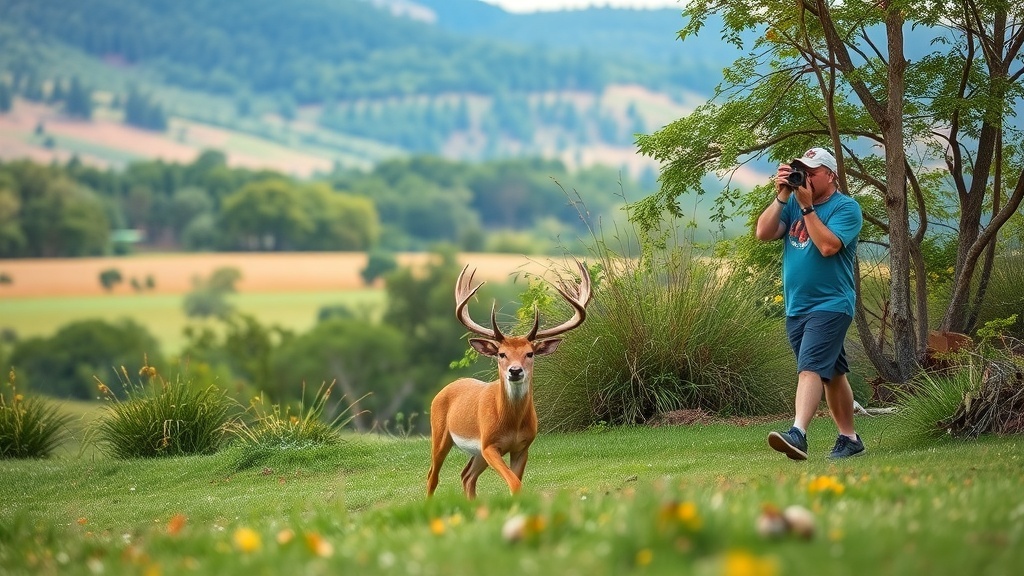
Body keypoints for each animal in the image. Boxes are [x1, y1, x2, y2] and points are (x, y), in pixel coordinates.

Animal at [426, 260, 592, 499]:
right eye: (501, 354)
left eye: (530, 354)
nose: (515, 371)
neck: (510, 422)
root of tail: (443, 390)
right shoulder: (489, 445)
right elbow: (514, 483)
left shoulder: (522, 446)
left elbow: (516, 481)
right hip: (440, 434)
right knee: (433, 475)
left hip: (476, 452)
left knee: (467, 475)